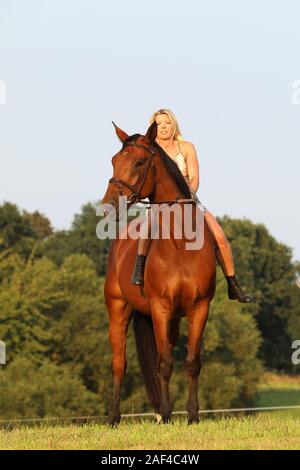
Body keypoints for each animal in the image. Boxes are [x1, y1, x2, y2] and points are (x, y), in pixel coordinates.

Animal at [101, 121, 216, 426]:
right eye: (114, 160)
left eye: (139, 162)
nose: (108, 205)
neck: (180, 243)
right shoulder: (160, 307)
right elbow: (164, 364)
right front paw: (165, 413)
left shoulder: (199, 308)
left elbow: (191, 362)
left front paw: (192, 415)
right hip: (119, 310)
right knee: (119, 363)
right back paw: (114, 417)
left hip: (170, 321)